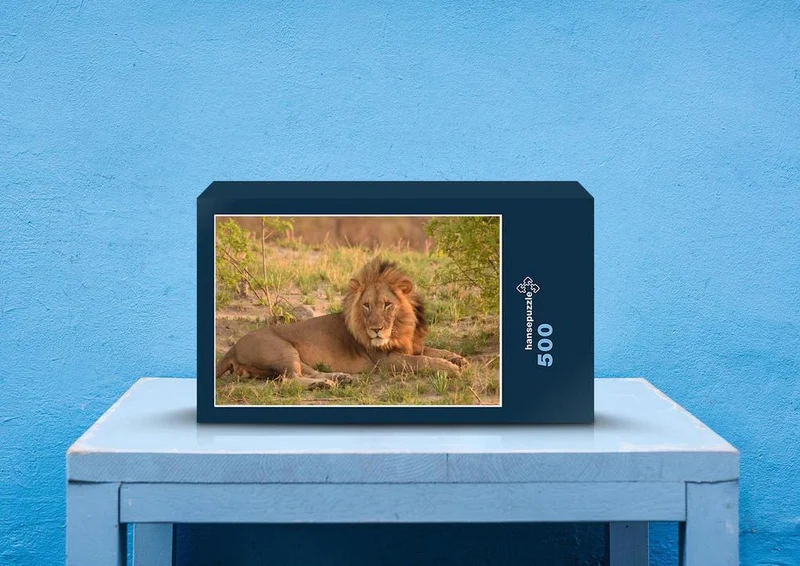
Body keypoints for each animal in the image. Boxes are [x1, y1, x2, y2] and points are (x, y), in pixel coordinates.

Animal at [215, 258, 468, 389]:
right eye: (366, 305)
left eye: (387, 304)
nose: (375, 330)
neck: (401, 327)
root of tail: (232, 348)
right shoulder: (386, 361)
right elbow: (424, 360)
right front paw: (451, 368)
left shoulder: (411, 346)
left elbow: (433, 351)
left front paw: (458, 359)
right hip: (281, 350)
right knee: (288, 380)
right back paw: (323, 385)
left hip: (291, 355)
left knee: (305, 371)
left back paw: (340, 378)